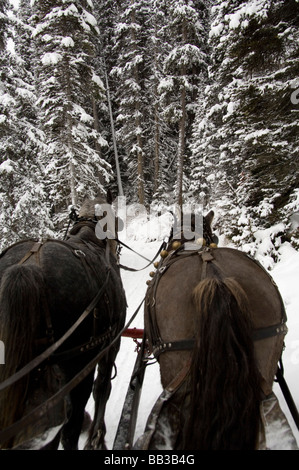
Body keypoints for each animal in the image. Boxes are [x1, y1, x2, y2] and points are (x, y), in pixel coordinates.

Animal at [0, 193, 126, 450]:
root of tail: (25, 268)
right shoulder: (111, 346)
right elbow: (103, 389)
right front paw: (98, 437)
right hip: (78, 364)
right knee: (70, 427)